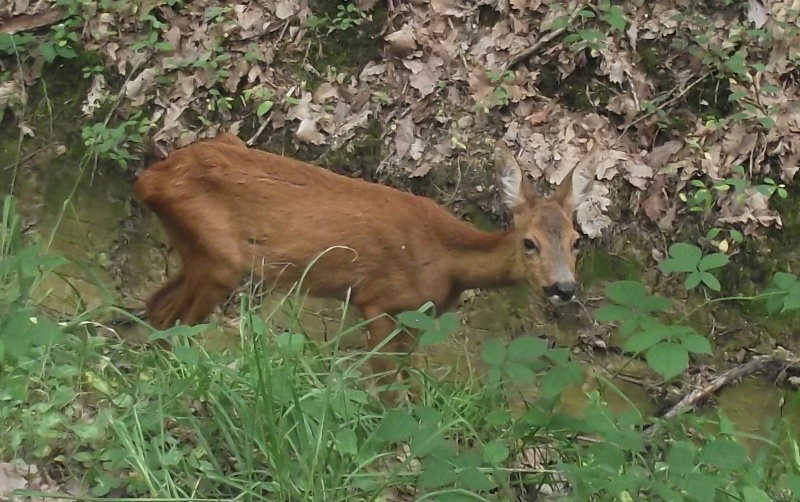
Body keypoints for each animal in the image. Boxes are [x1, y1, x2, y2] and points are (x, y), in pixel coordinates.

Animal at [134, 132, 596, 400]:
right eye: (530, 242)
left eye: (576, 242)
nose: (563, 288)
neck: (446, 262)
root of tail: (149, 180)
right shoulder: (377, 301)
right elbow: (388, 388)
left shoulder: (419, 315)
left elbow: (407, 380)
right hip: (220, 260)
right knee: (174, 324)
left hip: (198, 250)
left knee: (156, 308)